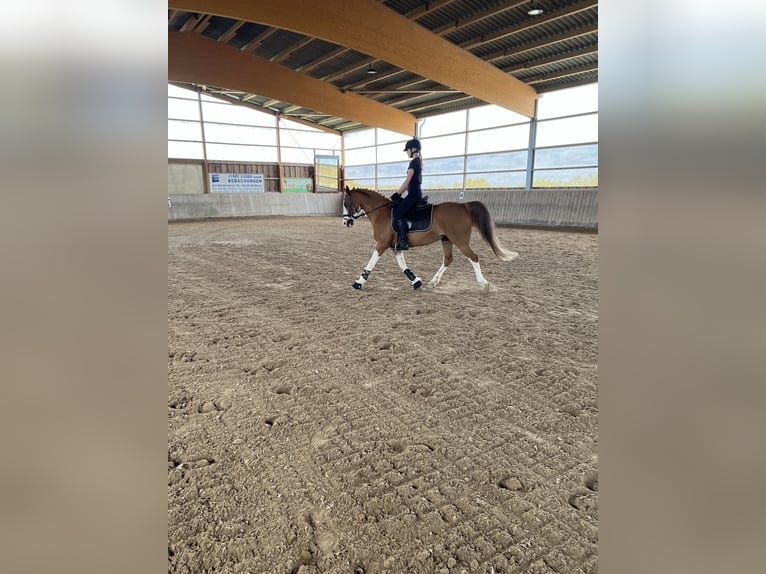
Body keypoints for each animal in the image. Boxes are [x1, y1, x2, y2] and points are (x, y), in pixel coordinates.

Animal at [344, 187, 520, 290]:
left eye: (346, 203)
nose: (346, 222)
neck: (382, 213)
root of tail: (464, 206)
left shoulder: (381, 244)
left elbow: (371, 262)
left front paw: (359, 282)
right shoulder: (395, 247)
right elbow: (402, 265)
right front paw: (416, 281)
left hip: (460, 241)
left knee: (474, 257)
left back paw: (483, 282)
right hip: (446, 240)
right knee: (448, 259)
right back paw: (434, 281)